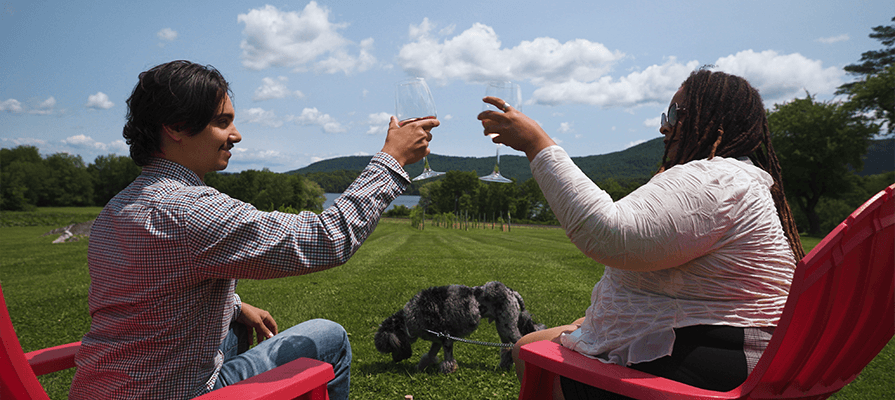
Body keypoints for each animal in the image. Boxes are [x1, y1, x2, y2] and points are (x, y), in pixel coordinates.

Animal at [372, 282, 544, 372]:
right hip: (502, 328)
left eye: (391, 348)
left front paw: (448, 370)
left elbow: (448, 358)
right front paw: (420, 368)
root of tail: (512, 291)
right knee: (507, 349)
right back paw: (504, 365)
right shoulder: (437, 339)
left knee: (520, 341)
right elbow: (429, 355)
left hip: (509, 327)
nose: (395, 361)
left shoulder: (446, 338)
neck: (413, 314)